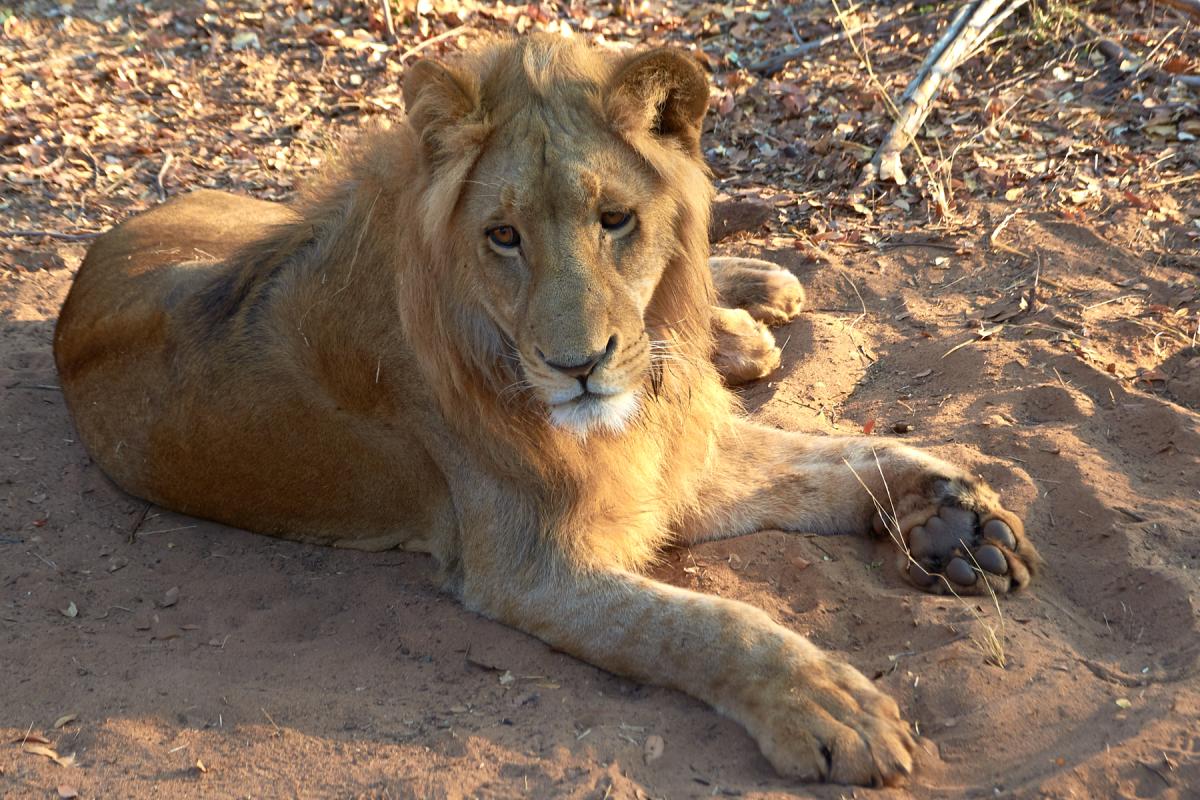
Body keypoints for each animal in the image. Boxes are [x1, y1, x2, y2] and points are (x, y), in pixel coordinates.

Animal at [54, 35, 1040, 785]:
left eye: (615, 220)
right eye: (503, 237)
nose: (580, 369)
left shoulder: (670, 450)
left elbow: (830, 458)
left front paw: (957, 521)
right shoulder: (532, 566)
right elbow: (703, 624)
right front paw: (831, 709)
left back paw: (752, 309)